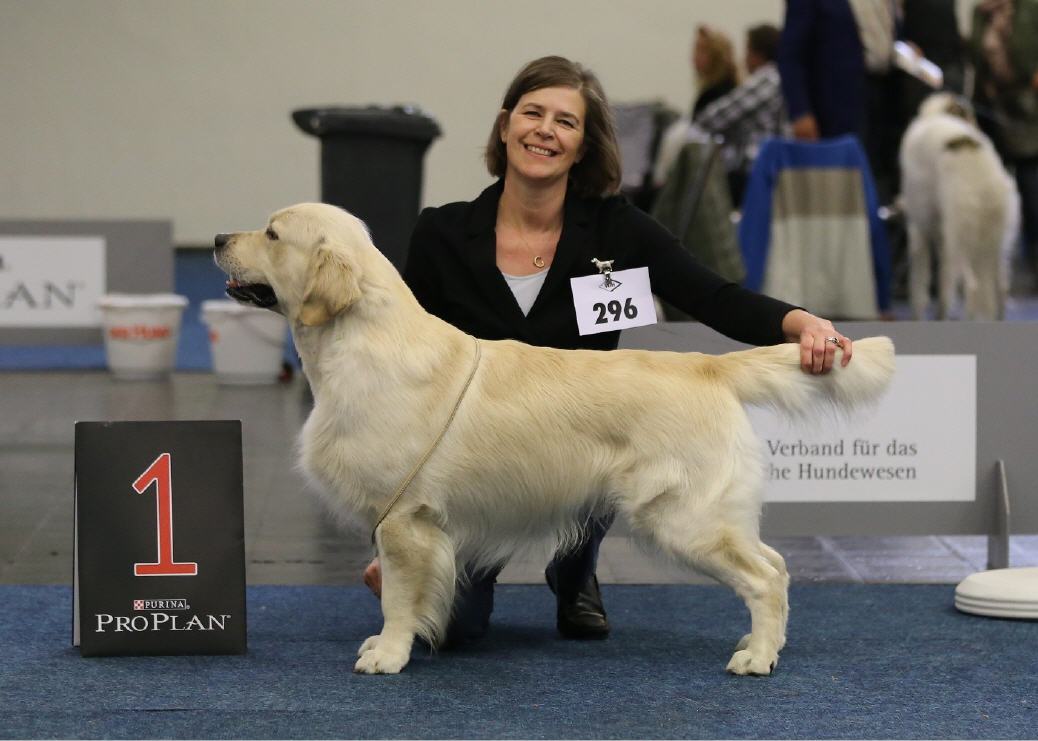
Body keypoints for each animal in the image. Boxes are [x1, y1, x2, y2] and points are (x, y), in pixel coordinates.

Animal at [214, 202, 896, 676]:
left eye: (272, 234)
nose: (218, 239)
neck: (359, 342)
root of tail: (708, 365)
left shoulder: (404, 518)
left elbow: (399, 598)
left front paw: (389, 653)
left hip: (685, 516)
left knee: (765, 576)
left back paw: (757, 658)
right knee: (776, 564)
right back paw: (762, 644)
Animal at [900, 91, 1021, 317]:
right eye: (972, 116)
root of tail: (986, 187)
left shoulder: (919, 230)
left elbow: (919, 286)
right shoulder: (939, 236)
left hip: (959, 240)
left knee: (967, 288)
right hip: (995, 244)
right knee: (1000, 290)